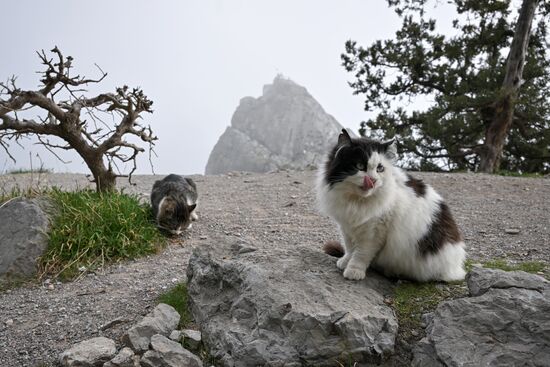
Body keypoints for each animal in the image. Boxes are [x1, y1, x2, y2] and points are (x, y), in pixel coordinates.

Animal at [316, 131, 468, 284]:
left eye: (380, 168)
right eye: (359, 166)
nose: (373, 180)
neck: (357, 201)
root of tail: (457, 267)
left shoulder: (374, 232)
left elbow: (361, 254)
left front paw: (354, 271)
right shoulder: (347, 227)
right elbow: (350, 248)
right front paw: (345, 261)